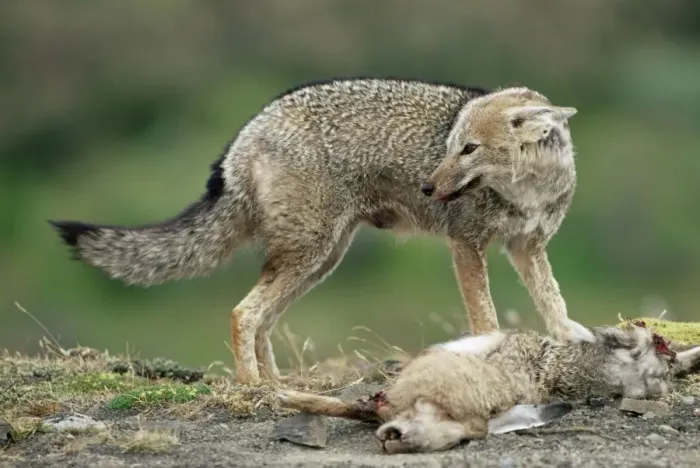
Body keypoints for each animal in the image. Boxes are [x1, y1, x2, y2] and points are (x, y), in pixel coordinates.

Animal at [50, 78, 592, 385]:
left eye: (469, 149)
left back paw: (283, 383)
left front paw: (572, 337)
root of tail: (245, 134)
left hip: (319, 260)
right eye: (449, 147)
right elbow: (487, 318)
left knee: (262, 319)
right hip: (310, 254)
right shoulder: (466, 244)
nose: (427, 186)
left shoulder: (527, 247)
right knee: (244, 313)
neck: (528, 189)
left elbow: (554, 302)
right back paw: (254, 387)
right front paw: (487, 355)